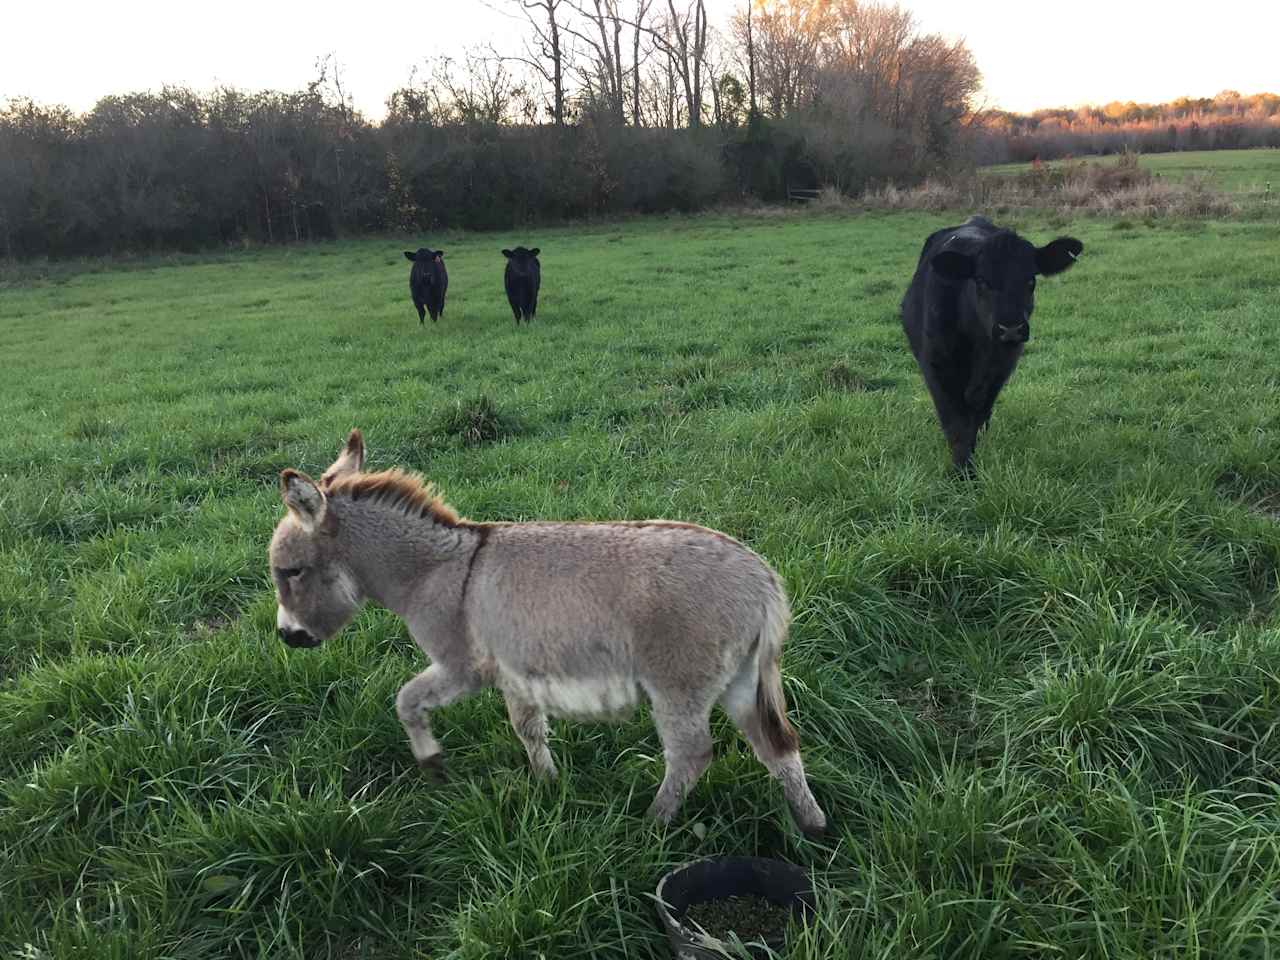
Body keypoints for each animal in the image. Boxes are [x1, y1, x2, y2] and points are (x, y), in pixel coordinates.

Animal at [901, 217, 1080, 473]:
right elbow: (954, 421)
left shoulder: (1000, 367)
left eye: (1031, 280)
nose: (1011, 328)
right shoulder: (936, 365)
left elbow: (978, 411)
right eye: (981, 280)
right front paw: (963, 471)